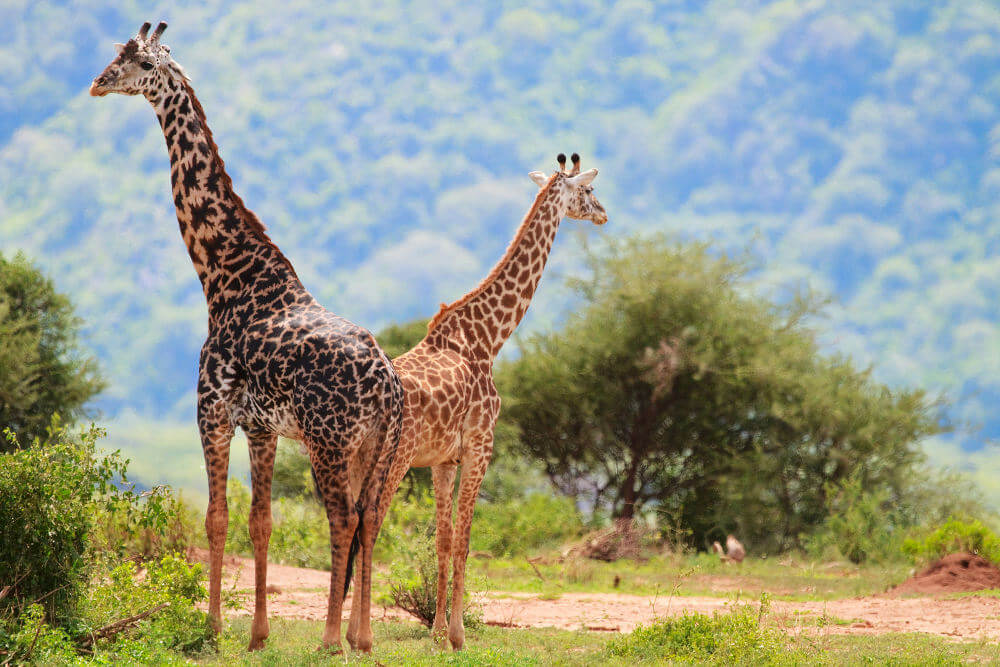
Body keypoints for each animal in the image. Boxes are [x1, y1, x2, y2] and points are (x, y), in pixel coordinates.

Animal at [346, 154, 608, 648]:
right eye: (587, 191)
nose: (604, 213)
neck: (489, 338)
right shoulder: (480, 447)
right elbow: (466, 539)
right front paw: (457, 634)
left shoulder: (443, 460)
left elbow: (443, 540)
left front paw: (434, 632)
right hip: (394, 459)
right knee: (369, 522)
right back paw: (361, 637)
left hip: (352, 458)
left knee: (346, 522)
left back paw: (340, 635)